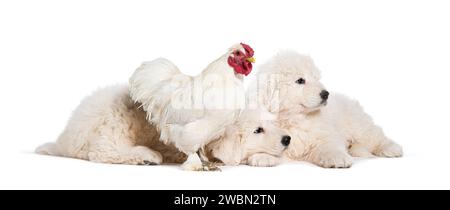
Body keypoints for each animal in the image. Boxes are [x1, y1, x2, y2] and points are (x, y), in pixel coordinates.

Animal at [34, 85, 288, 167]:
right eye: (257, 130)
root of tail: (65, 136)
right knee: (102, 151)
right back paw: (146, 156)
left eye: (271, 123)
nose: (287, 139)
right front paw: (264, 158)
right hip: (115, 118)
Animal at [250, 50, 404, 168]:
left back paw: (391, 148)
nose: (325, 94)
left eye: (316, 78)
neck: (294, 118)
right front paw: (262, 156)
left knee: (375, 135)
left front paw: (338, 157)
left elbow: (329, 144)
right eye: (300, 80)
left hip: (358, 125)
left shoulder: (324, 133)